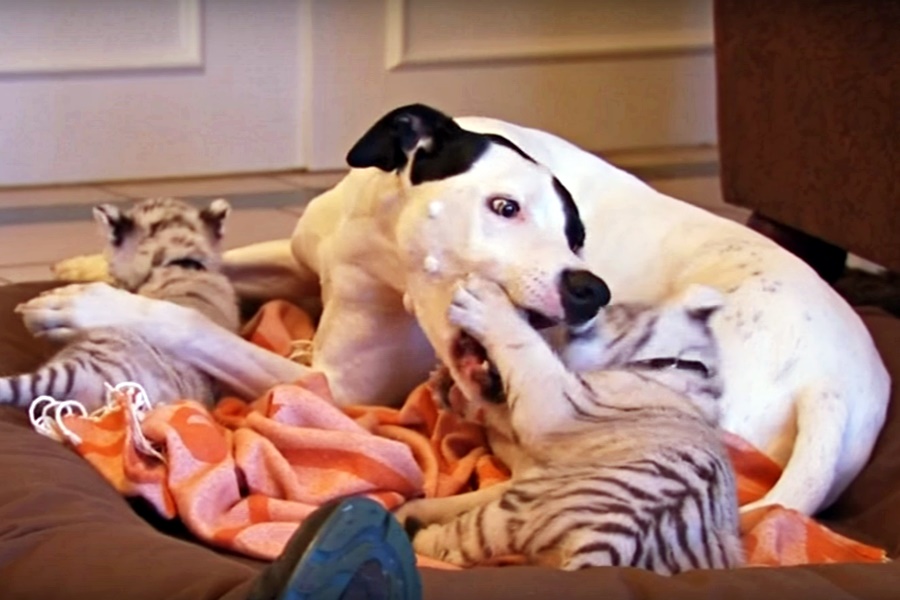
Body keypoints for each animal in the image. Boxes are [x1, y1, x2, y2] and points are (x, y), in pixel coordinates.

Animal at [33, 103, 884, 516]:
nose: (590, 290)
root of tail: (835, 390)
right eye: (505, 207)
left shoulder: (336, 391)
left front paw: (85, 302)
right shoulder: (305, 260)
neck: (379, 241)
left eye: (576, 232)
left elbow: (197, 326)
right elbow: (234, 262)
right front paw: (85, 264)